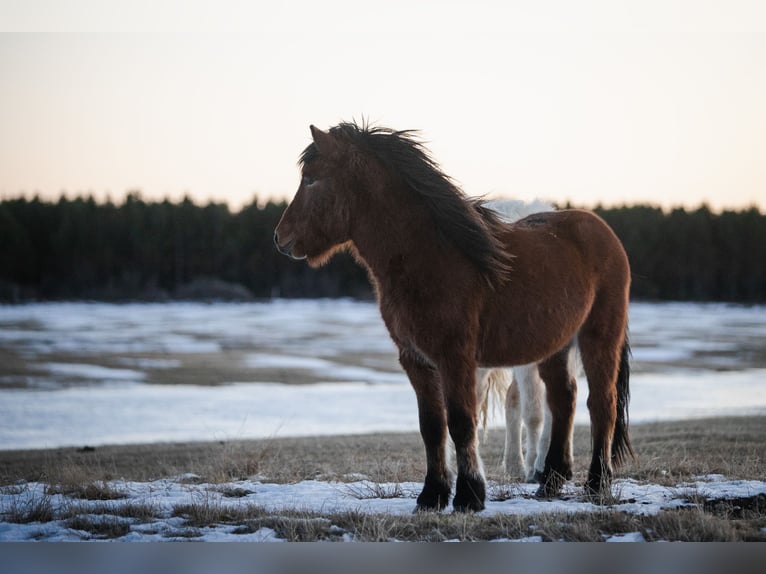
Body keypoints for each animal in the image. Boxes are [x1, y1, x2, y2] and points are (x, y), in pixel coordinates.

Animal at [275, 122, 633, 512]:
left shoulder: (456, 355)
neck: (431, 256)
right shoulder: (416, 360)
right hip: (555, 345)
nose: (280, 238)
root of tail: (600, 228)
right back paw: (551, 480)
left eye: (310, 179)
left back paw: (597, 483)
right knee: (563, 399)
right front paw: (431, 496)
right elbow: (432, 426)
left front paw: (469, 496)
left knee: (601, 403)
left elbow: (462, 422)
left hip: (599, 335)